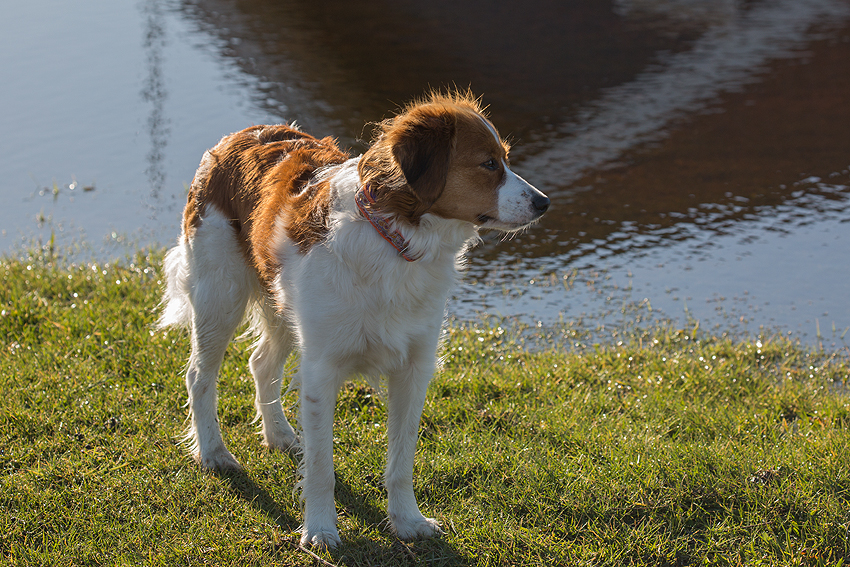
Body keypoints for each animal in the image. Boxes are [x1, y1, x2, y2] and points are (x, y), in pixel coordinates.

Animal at [156, 91, 548, 548]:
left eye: (505, 158)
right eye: (488, 164)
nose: (544, 203)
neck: (397, 239)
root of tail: (237, 136)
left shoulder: (414, 368)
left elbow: (401, 460)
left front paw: (407, 521)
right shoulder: (321, 368)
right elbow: (321, 466)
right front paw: (320, 530)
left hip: (283, 307)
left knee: (261, 363)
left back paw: (280, 436)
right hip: (220, 295)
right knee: (199, 375)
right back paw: (213, 453)